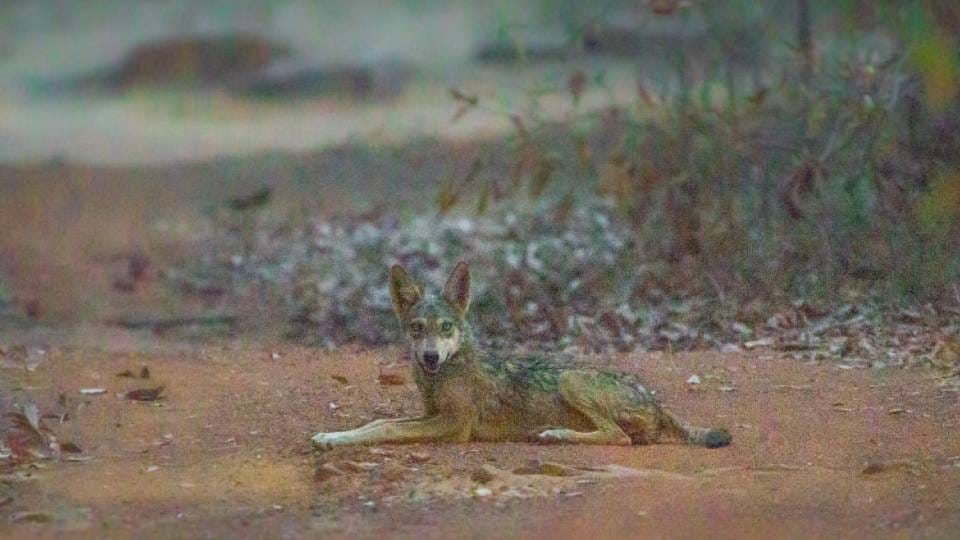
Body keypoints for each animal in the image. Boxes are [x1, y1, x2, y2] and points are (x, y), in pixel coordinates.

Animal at [311, 262, 731, 449]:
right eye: (417, 328)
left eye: (445, 328)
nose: (430, 357)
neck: (443, 374)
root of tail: (654, 400)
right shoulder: (431, 414)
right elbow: (379, 421)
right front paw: (330, 435)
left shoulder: (453, 426)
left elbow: (387, 428)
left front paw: (333, 440)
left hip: (571, 379)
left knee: (619, 437)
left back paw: (556, 434)